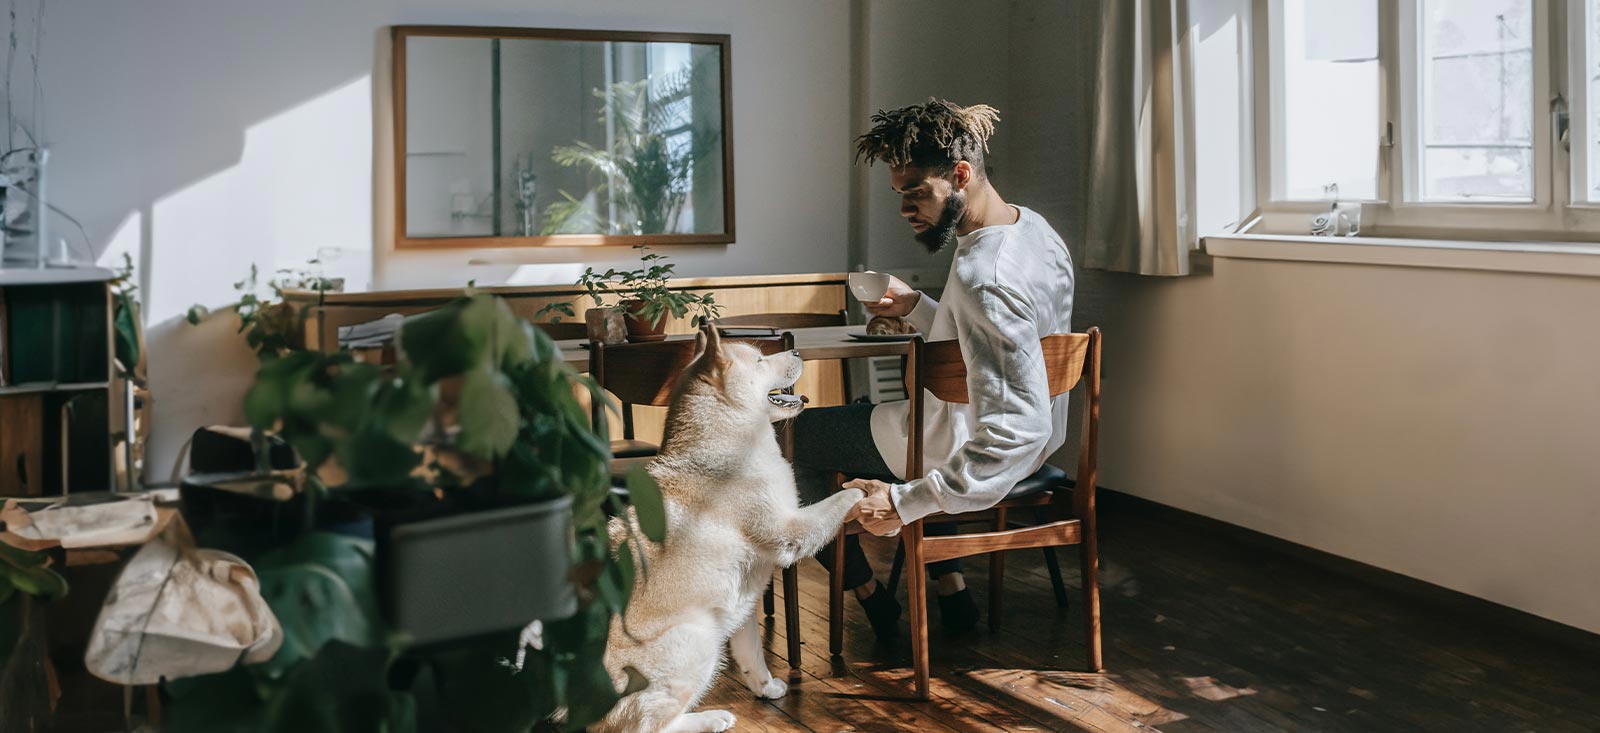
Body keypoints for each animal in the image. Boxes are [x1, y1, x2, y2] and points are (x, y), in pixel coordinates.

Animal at [588, 328, 864, 733]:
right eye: (761, 360)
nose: (798, 350)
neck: (733, 443)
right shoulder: (792, 531)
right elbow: (841, 498)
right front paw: (872, 490)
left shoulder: (743, 600)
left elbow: (752, 651)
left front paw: (765, 687)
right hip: (698, 636)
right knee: (646, 727)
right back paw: (710, 718)